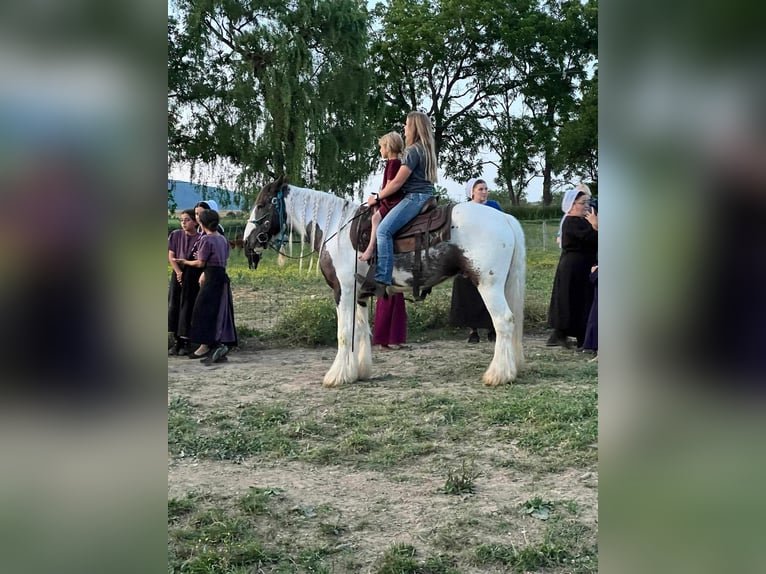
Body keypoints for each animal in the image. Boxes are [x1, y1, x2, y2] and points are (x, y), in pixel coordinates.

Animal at [246, 178, 528, 390]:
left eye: (261, 205)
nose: (248, 243)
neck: (337, 229)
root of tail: (504, 218)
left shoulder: (343, 291)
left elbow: (343, 333)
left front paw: (336, 376)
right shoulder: (359, 294)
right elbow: (361, 331)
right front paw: (358, 371)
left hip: (488, 285)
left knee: (504, 322)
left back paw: (498, 374)